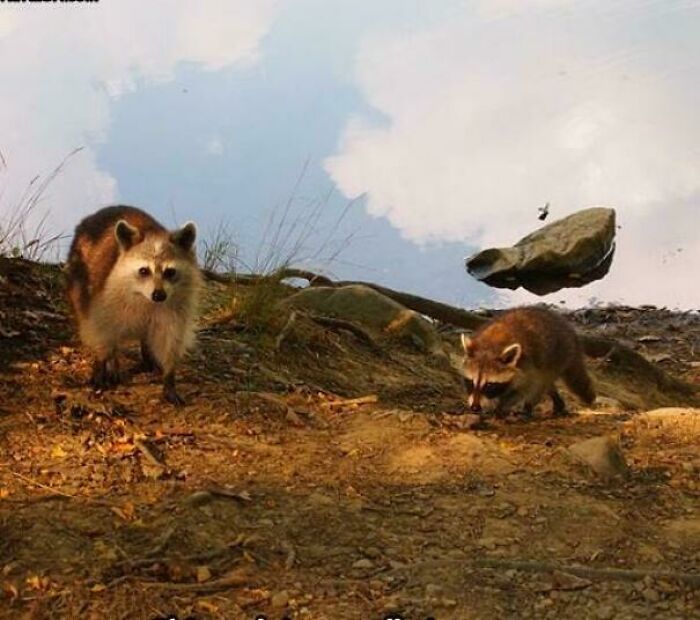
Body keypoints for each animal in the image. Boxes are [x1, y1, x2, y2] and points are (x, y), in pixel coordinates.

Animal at [65, 205, 202, 405]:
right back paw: (113, 361)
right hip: (80, 279)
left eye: (170, 272)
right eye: (144, 271)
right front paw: (102, 364)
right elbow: (102, 332)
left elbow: (170, 339)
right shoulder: (105, 298)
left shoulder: (176, 306)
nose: (159, 295)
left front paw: (169, 377)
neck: (147, 299)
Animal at [460, 307, 595, 417]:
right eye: (471, 382)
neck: (491, 345)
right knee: (548, 385)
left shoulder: (528, 367)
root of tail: (571, 333)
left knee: (541, 383)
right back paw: (557, 401)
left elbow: (524, 389)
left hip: (557, 356)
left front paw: (501, 407)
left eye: (489, 385)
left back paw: (529, 408)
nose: (475, 407)